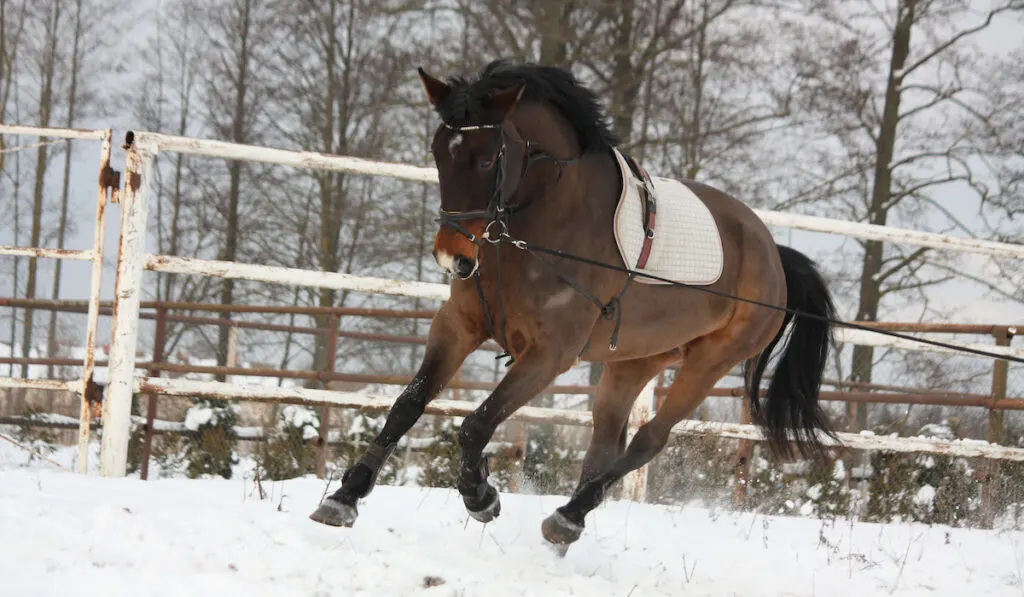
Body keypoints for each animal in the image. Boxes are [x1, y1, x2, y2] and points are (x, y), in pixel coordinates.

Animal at [307, 61, 835, 552]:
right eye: (439, 152)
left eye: (486, 158)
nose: (452, 256)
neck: (537, 231)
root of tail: (773, 254)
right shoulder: (459, 326)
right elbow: (408, 404)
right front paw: (344, 497)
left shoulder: (549, 355)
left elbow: (477, 424)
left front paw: (481, 496)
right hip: (635, 362)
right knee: (605, 447)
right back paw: (568, 526)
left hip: (708, 363)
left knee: (648, 440)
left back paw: (567, 517)